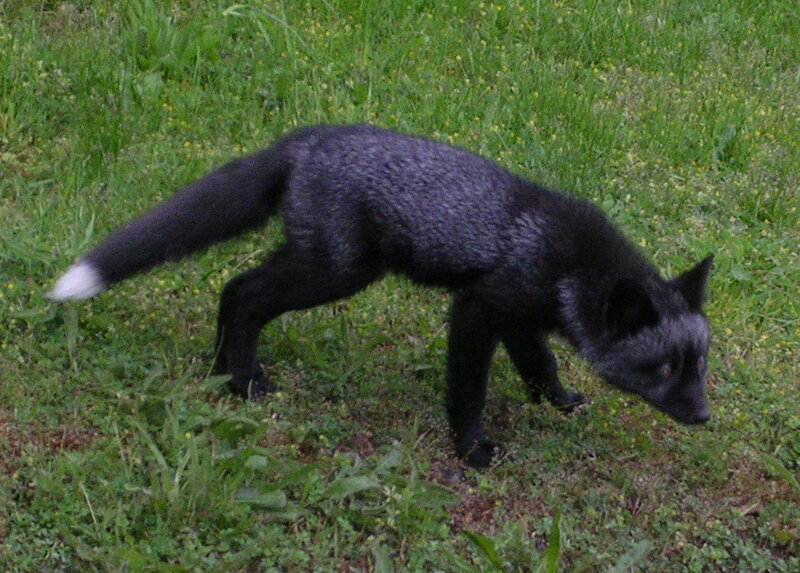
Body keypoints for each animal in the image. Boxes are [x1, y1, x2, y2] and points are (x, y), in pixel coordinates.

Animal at [50, 124, 713, 468]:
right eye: (660, 368)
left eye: (700, 366)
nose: (705, 416)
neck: (570, 259)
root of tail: (305, 138)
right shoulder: (477, 310)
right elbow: (467, 392)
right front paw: (472, 451)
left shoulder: (521, 316)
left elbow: (541, 365)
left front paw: (560, 401)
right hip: (336, 272)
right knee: (242, 293)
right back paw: (241, 382)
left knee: (233, 288)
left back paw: (224, 374)